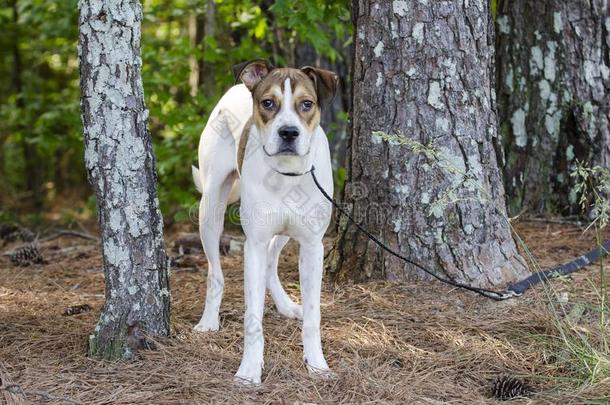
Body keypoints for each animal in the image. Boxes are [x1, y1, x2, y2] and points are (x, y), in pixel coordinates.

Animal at [191, 59, 338, 382]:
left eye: (306, 104)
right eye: (268, 103)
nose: (288, 133)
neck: (287, 172)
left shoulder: (312, 245)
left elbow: (313, 315)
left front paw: (317, 364)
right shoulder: (254, 244)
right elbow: (252, 317)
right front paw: (249, 370)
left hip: (283, 232)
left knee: (272, 261)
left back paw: (286, 306)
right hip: (210, 207)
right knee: (215, 273)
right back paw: (208, 321)